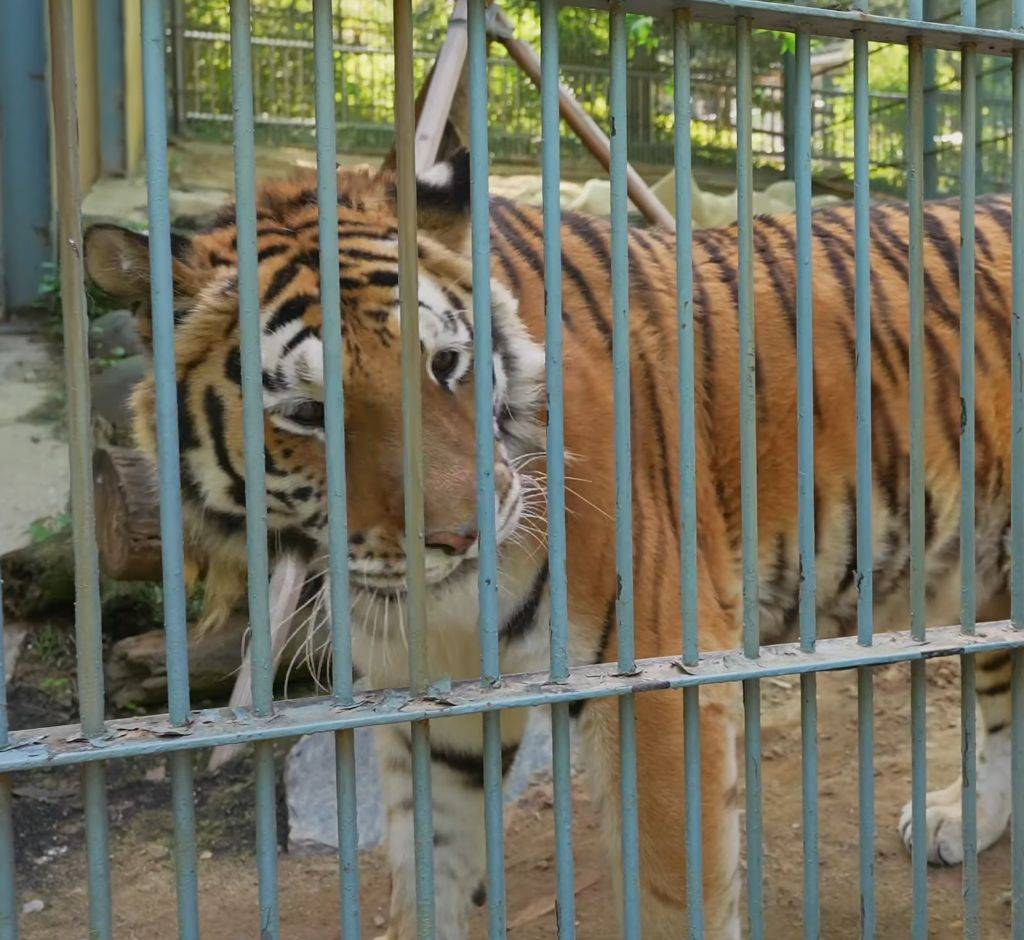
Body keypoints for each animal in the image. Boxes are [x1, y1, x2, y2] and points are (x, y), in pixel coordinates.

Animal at [86, 150, 1015, 937]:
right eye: (309, 414)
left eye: (446, 365)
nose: (462, 532)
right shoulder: (432, 703)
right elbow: (431, 876)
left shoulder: (657, 678)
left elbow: (673, 894)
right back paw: (963, 818)